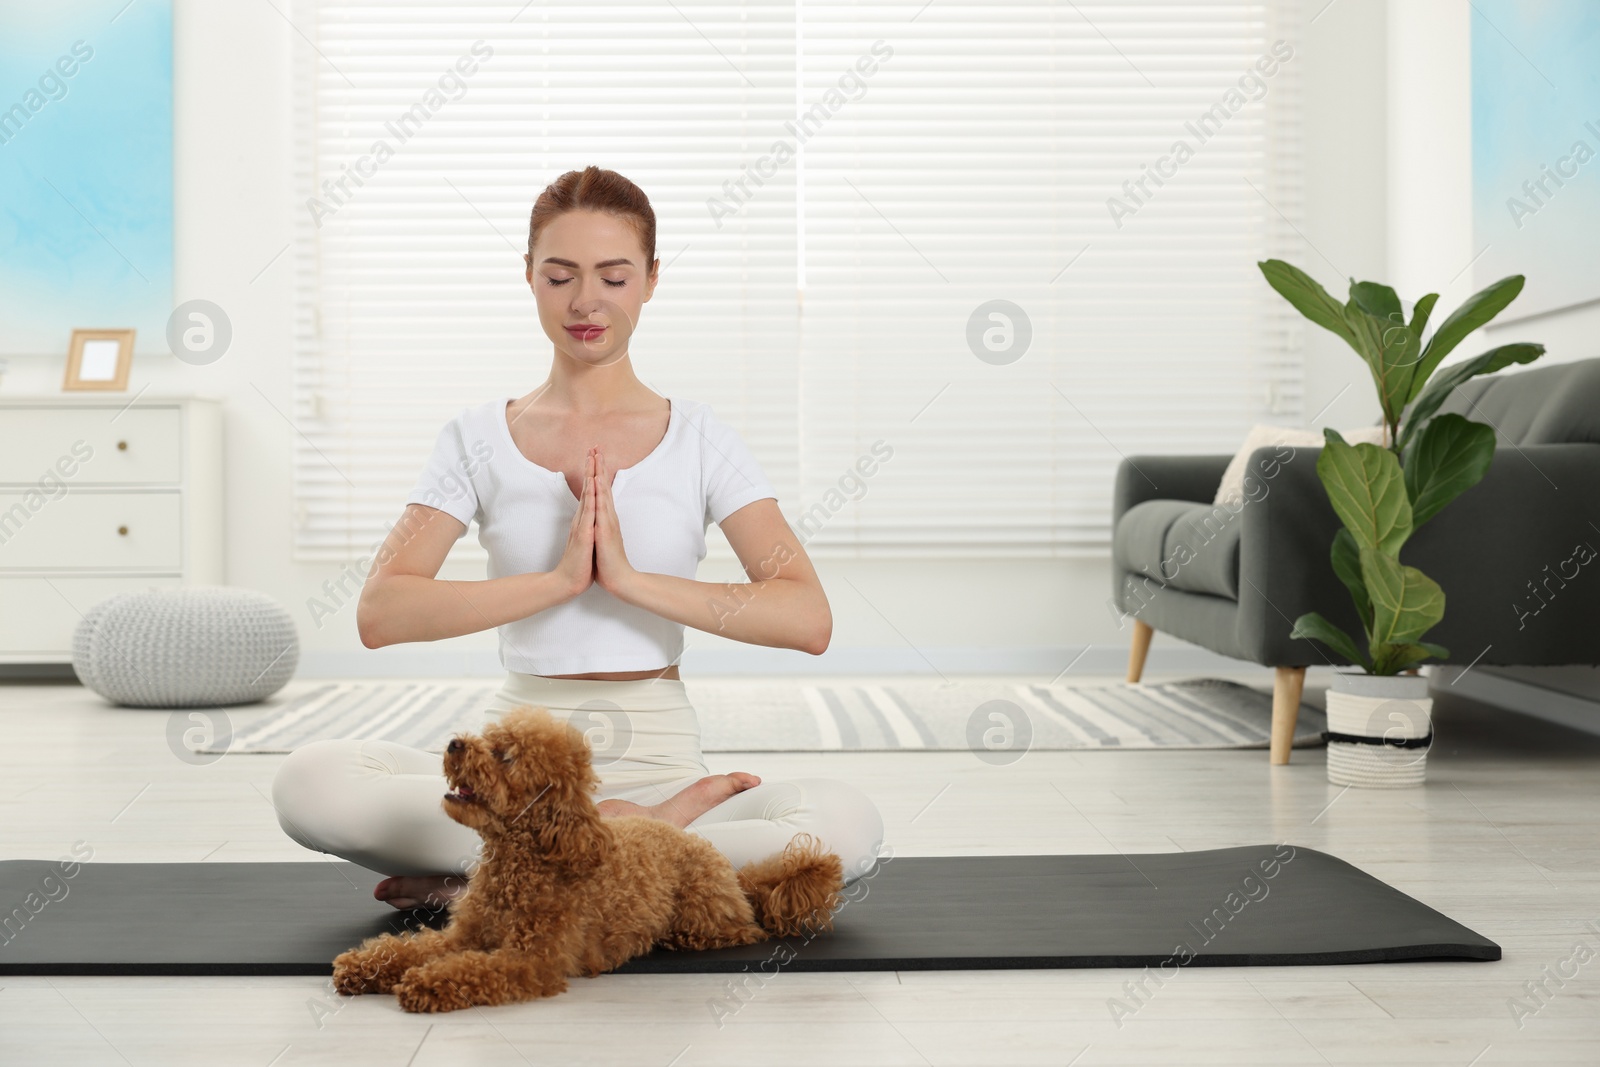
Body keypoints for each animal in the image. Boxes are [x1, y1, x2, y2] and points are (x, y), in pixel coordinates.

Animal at [328, 703, 851, 1017]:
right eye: (486, 737)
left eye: (505, 756)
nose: (455, 743)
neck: (522, 863)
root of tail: (733, 876)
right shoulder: (465, 935)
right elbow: (412, 947)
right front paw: (365, 966)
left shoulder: (534, 960)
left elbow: (474, 970)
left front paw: (425, 985)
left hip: (704, 917)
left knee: (745, 931)